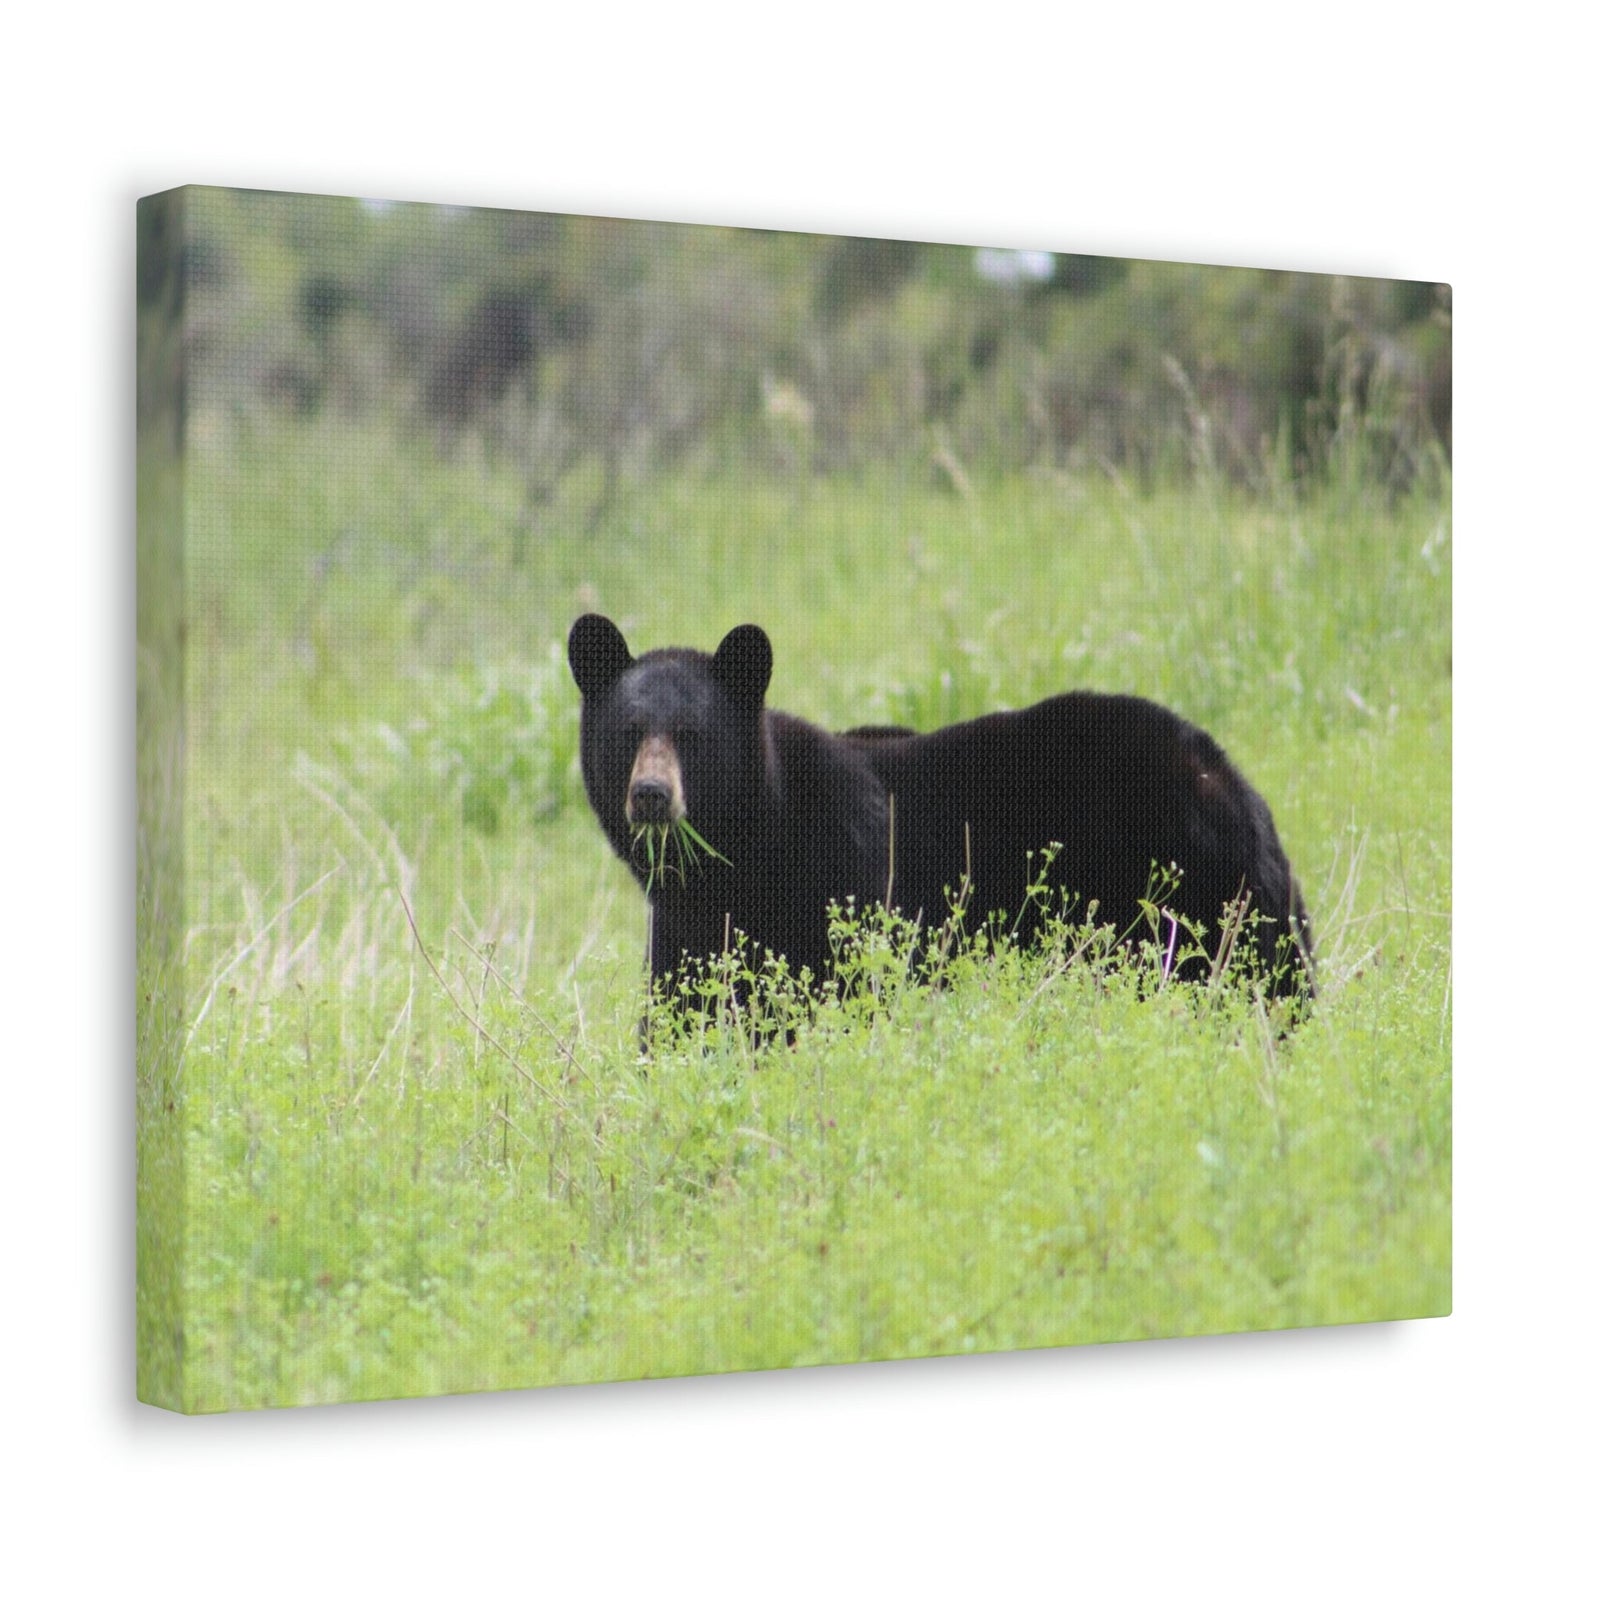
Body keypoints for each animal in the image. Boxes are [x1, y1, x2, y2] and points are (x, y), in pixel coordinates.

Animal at [567, 613, 1313, 1018]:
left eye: (691, 735)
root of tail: (1229, 777)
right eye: (629, 731)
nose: (651, 794)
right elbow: (685, 1010)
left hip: (1184, 895)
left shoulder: (847, 875)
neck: (752, 848)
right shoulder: (688, 923)